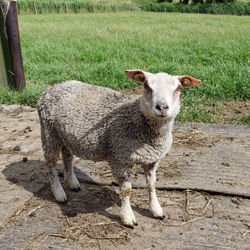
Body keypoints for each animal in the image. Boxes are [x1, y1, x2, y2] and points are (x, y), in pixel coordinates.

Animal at [37, 69, 201, 229]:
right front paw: (128, 218)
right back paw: (59, 193)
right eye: (146, 86)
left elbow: (152, 184)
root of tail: (54, 87)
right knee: (50, 165)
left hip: (65, 136)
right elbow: (126, 190)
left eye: (178, 88)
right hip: (48, 132)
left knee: (67, 157)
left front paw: (157, 210)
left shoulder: (153, 159)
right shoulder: (119, 158)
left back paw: (72, 182)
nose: (162, 107)